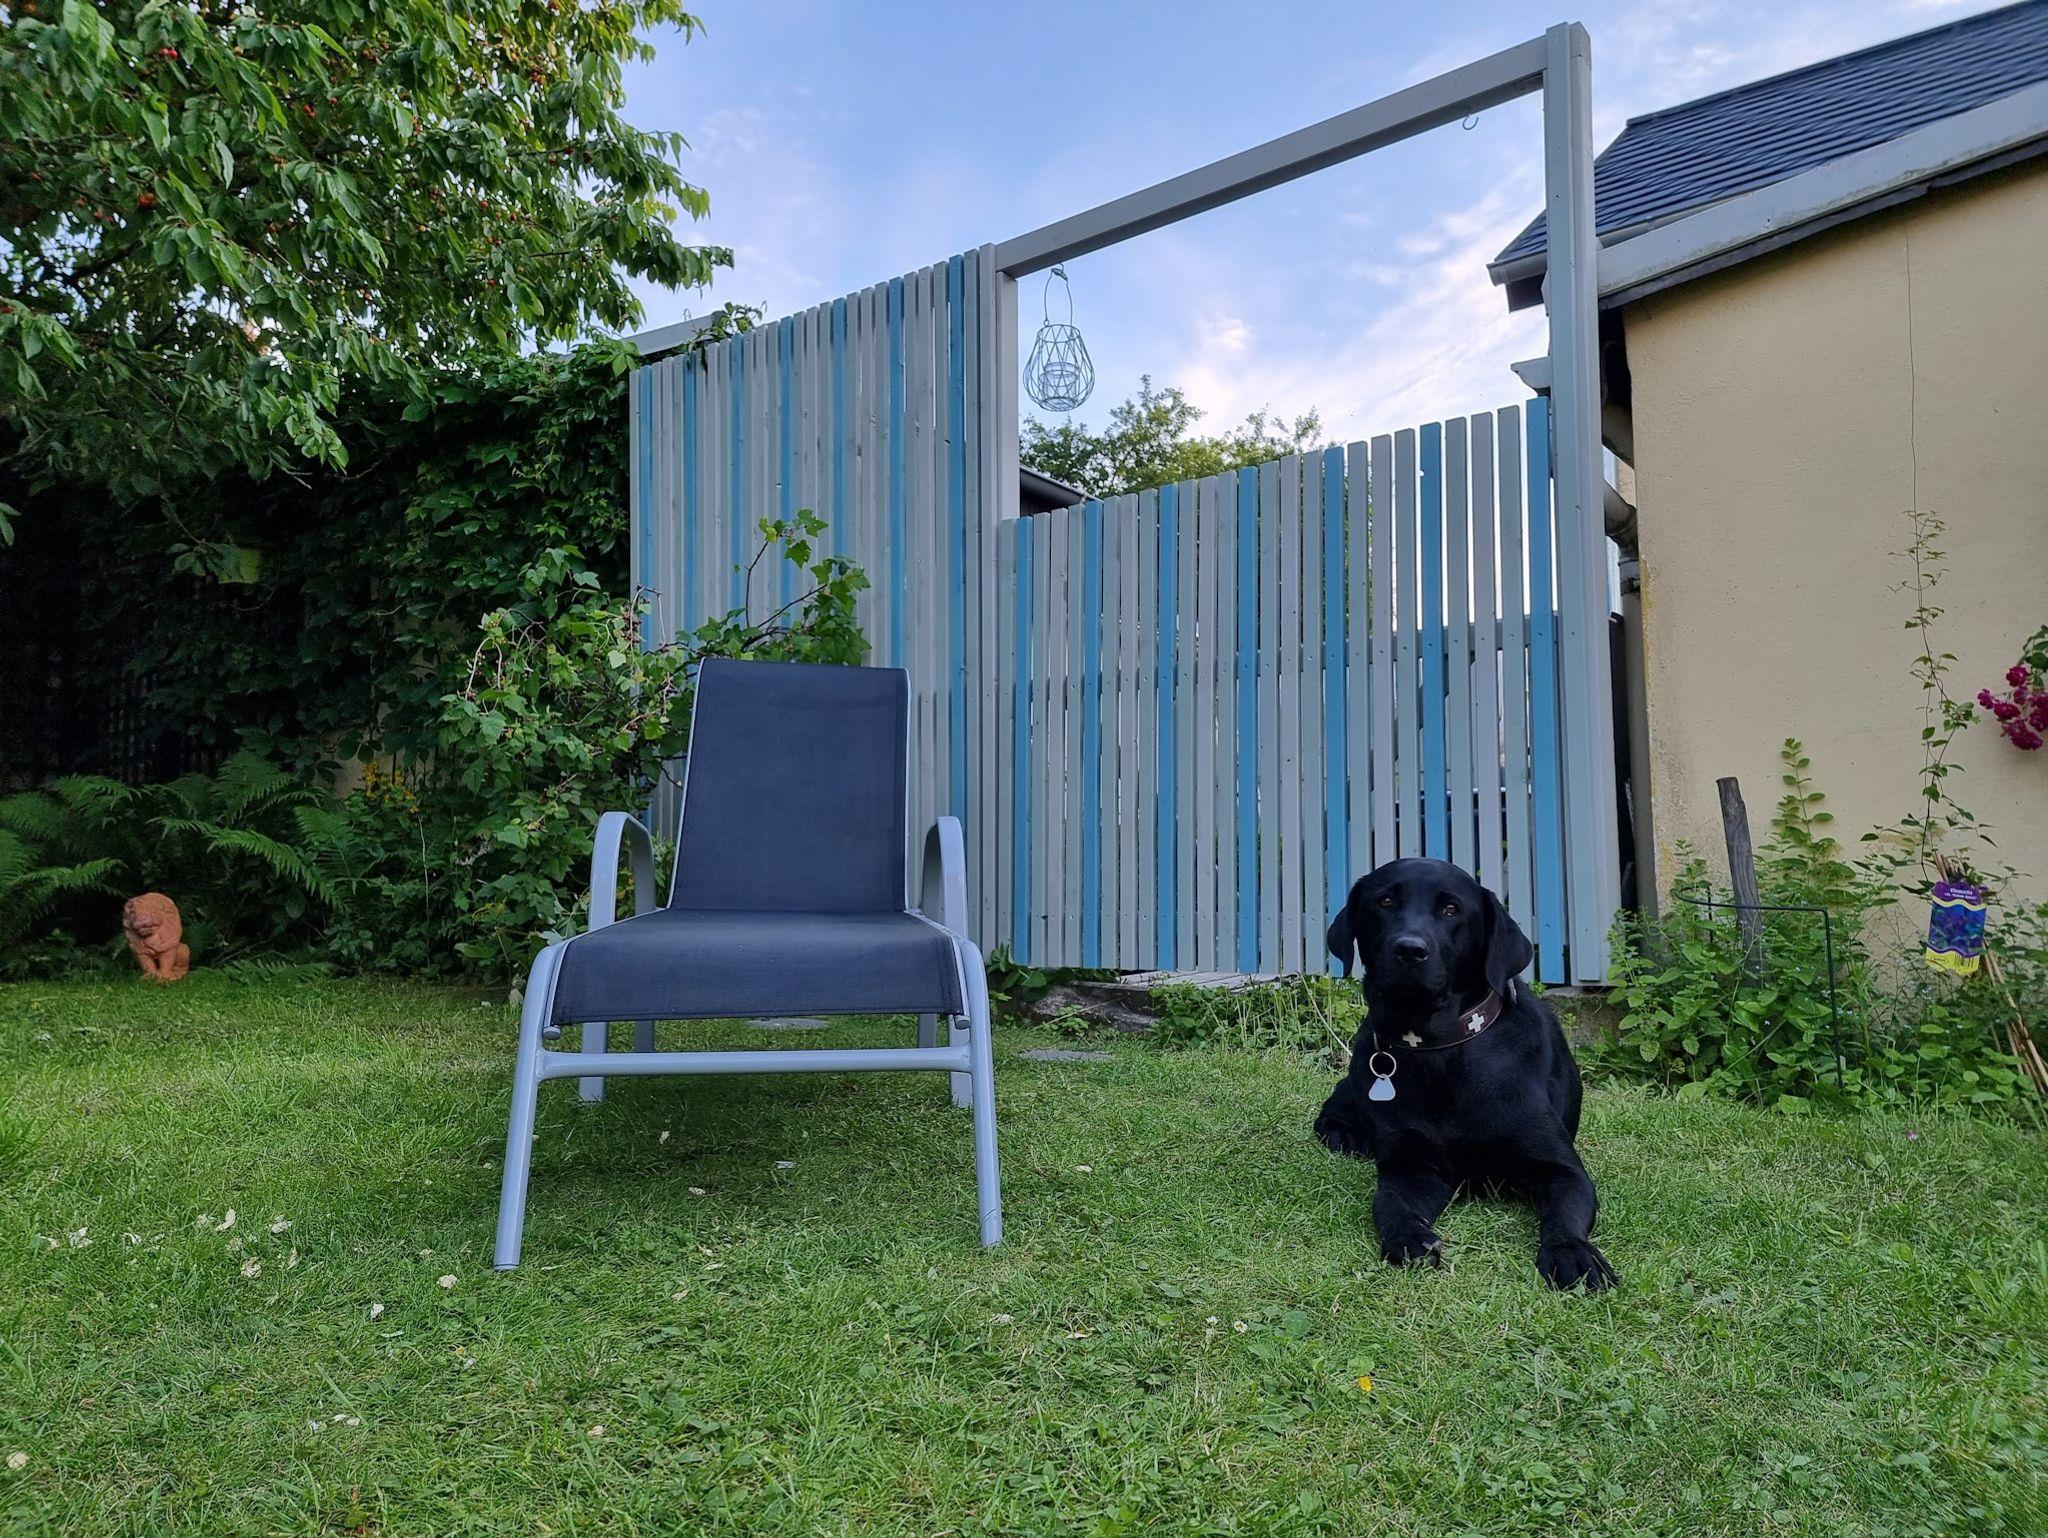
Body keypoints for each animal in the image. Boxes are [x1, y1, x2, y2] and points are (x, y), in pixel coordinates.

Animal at [1314, 858, 1615, 1291]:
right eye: (1384, 901)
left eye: (1451, 909)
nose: (1409, 950)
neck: (1441, 1051)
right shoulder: (1411, 1166)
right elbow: (1388, 1203)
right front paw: (1409, 1236)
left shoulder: (1560, 1167)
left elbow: (1565, 1214)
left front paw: (1571, 1253)